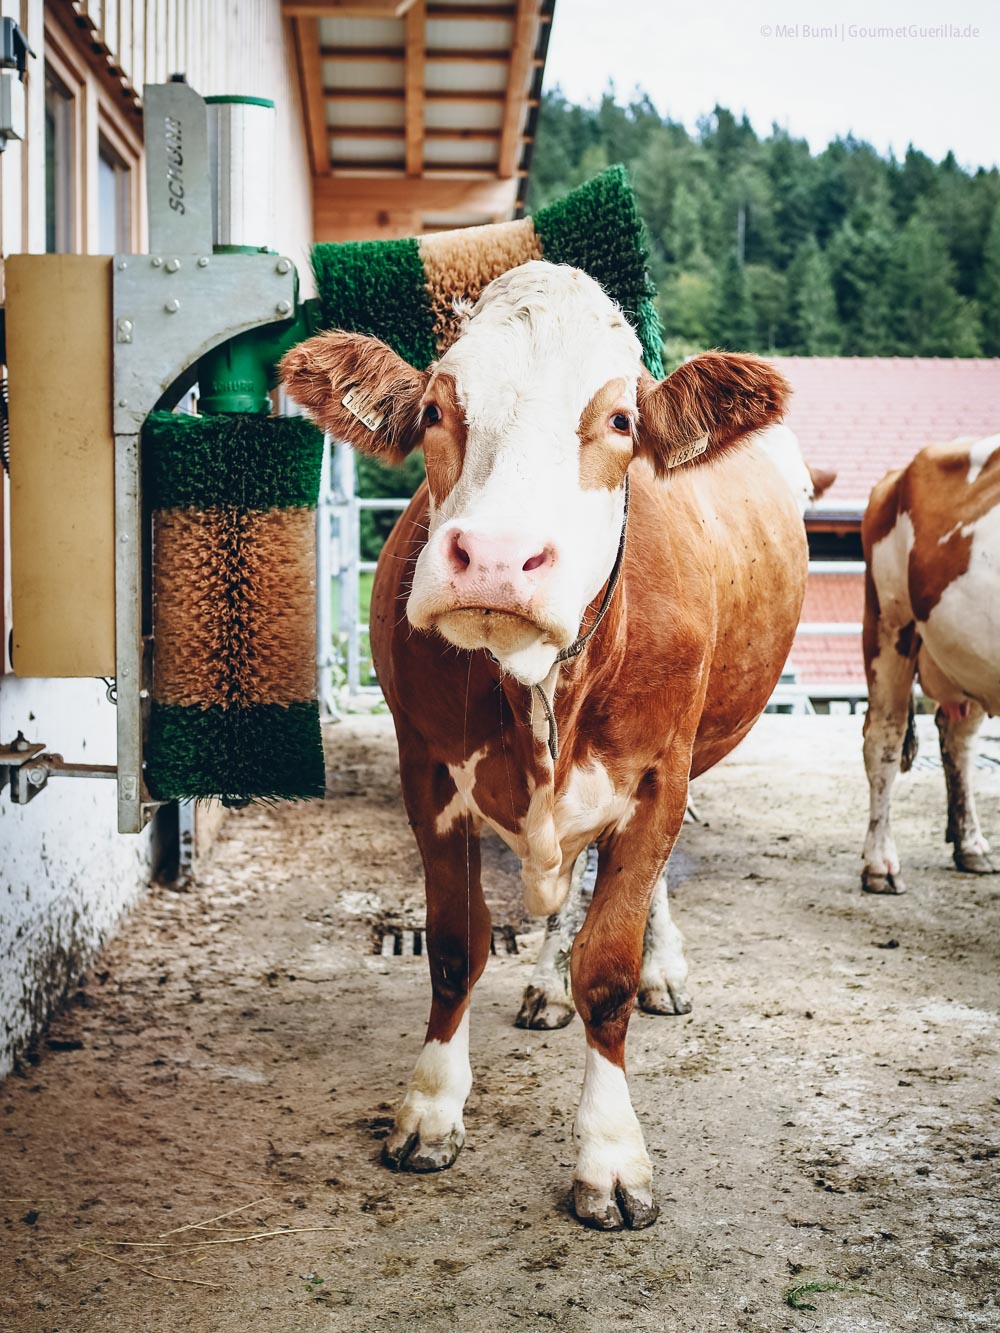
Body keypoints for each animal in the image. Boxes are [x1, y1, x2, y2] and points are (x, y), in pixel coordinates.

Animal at [278, 265, 810, 1231]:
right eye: (437, 409)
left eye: (622, 420)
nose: (495, 556)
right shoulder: (427, 770)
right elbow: (457, 945)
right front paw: (431, 1108)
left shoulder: (658, 777)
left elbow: (610, 965)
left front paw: (611, 1154)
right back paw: (546, 984)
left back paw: (660, 969)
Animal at [864, 437, 1000, 895]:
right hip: (890, 624)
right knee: (883, 741)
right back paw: (880, 864)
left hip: (970, 653)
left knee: (958, 737)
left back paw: (971, 845)